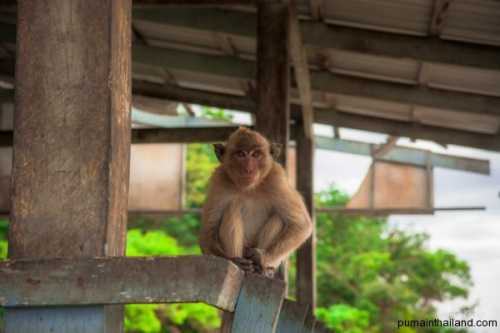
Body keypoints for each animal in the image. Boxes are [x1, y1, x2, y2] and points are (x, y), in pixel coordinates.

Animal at [199, 127, 312, 274]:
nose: (248, 169)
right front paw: (231, 259)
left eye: (256, 154)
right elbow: (208, 230)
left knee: (279, 218)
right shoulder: (218, 182)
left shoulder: (277, 180)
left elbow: (301, 225)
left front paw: (261, 258)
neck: (249, 189)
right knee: (231, 210)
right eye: (241, 154)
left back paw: (262, 268)